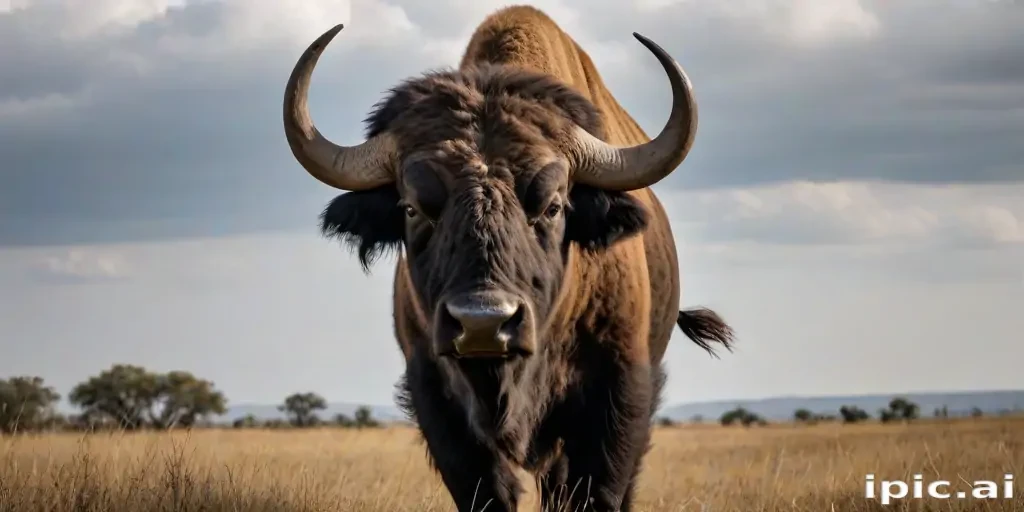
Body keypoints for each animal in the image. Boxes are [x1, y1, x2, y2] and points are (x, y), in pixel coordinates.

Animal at [282, 5, 734, 511]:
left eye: (554, 205)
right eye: (412, 207)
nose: (483, 323)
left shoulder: (618, 393)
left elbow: (599, 487)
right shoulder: (437, 399)